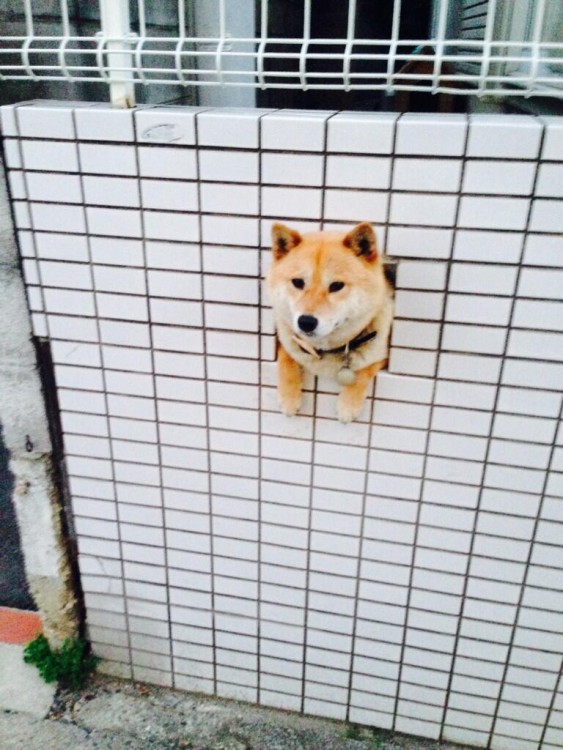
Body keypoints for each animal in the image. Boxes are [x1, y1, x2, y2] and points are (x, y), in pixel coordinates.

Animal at [268, 222, 392, 424]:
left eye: (336, 286)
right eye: (298, 282)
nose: (306, 322)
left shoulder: (381, 353)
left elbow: (364, 370)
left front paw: (348, 405)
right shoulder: (288, 339)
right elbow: (287, 359)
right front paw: (289, 398)